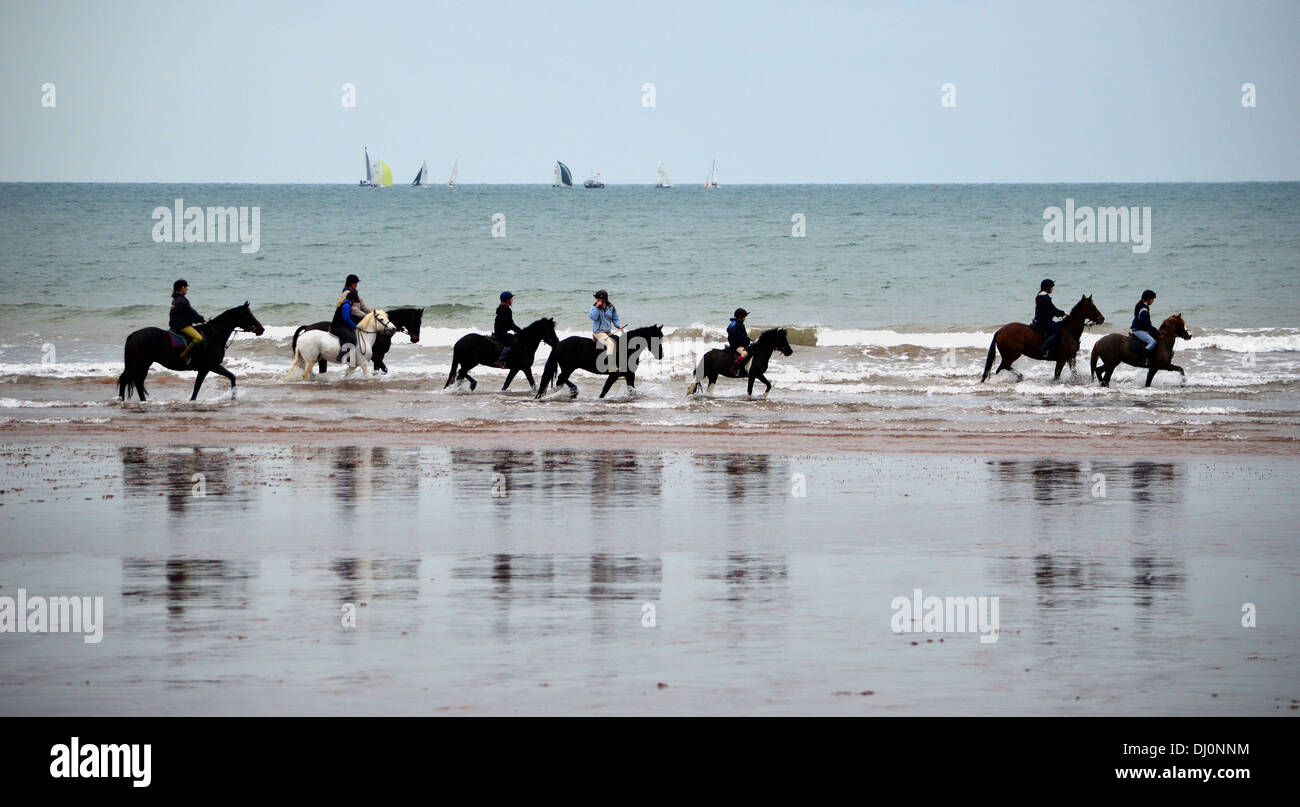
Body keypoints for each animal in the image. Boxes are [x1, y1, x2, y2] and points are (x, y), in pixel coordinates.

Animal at [117, 302, 265, 402]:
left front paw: (233, 397)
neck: (214, 334)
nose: (261, 329)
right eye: (248, 315)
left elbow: (232, 376)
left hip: (142, 364)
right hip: (140, 364)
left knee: (132, 380)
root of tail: (134, 334)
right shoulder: (207, 367)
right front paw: (192, 401)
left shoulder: (213, 366)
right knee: (133, 381)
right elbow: (197, 386)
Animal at [292, 307, 424, 375]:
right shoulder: (376, 356)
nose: (416, 339)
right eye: (417, 321)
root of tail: (308, 327)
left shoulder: (379, 356)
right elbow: (384, 369)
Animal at [536, 325, 665, 399]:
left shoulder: (629, 374)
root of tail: (558, 345)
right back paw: (573, 391)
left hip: (568, 368)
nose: (661, 355)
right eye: (655, 338)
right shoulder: (614, 375)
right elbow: (605, 389)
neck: (627, 348)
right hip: (568, 368)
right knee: (561, 378)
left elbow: (631, 390)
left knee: (560, 380)